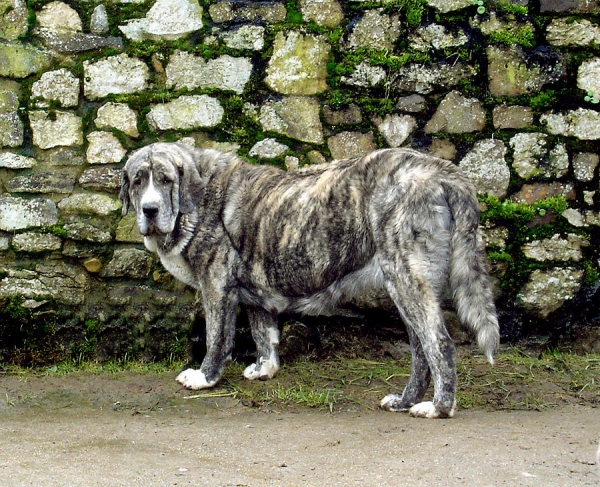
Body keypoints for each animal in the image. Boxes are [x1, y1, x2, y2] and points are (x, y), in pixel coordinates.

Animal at [119, 141, 500, 420]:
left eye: (166, 180)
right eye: (138, 180)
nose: (150, 210)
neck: (197, 198)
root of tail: (443, 171)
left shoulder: (216, 286)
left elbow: (217, 338)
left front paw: (205, 377)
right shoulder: (255, 291)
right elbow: (264, 332)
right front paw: (265, 369)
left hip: (408, 279)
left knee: (439, 344)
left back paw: (439, 407)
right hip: (405, 286)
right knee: (421, 350)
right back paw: (405, 401)